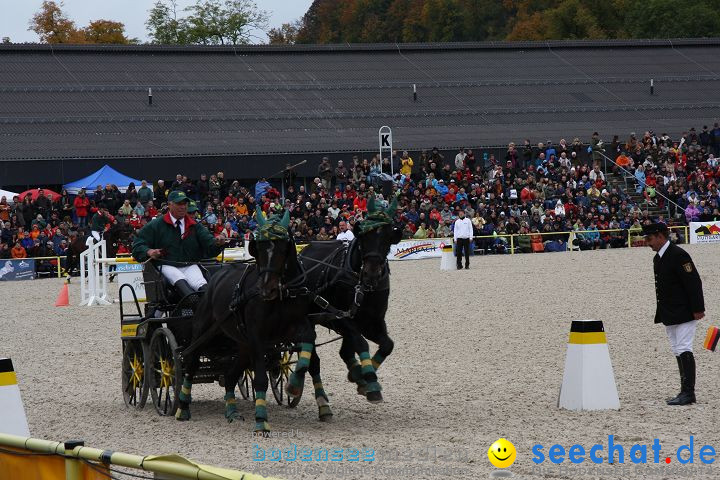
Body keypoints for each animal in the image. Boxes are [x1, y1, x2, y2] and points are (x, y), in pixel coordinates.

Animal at [176, 208, 322, 434]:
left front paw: (294, 384)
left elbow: (307, 341)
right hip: (203, 331)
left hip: (242, 344)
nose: (266, 289)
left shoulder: (296, 326)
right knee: (191, 363)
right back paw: (182, 407)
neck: (281, 295)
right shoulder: (257, 337)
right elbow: (260, 378)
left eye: (283, 248)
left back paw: (231, 412)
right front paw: (261, 420)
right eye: (259, 248)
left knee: (230, 375)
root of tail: (215, 278)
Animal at [296, 197, 402, 406]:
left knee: (344, 351)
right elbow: (361, 344)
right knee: (312, 356)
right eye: (364, 238)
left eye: (387, 239)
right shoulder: (340, 318)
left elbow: (387, 344)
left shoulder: (372, 321)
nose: (371, 274)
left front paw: (360, 377)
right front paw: (369, 381)